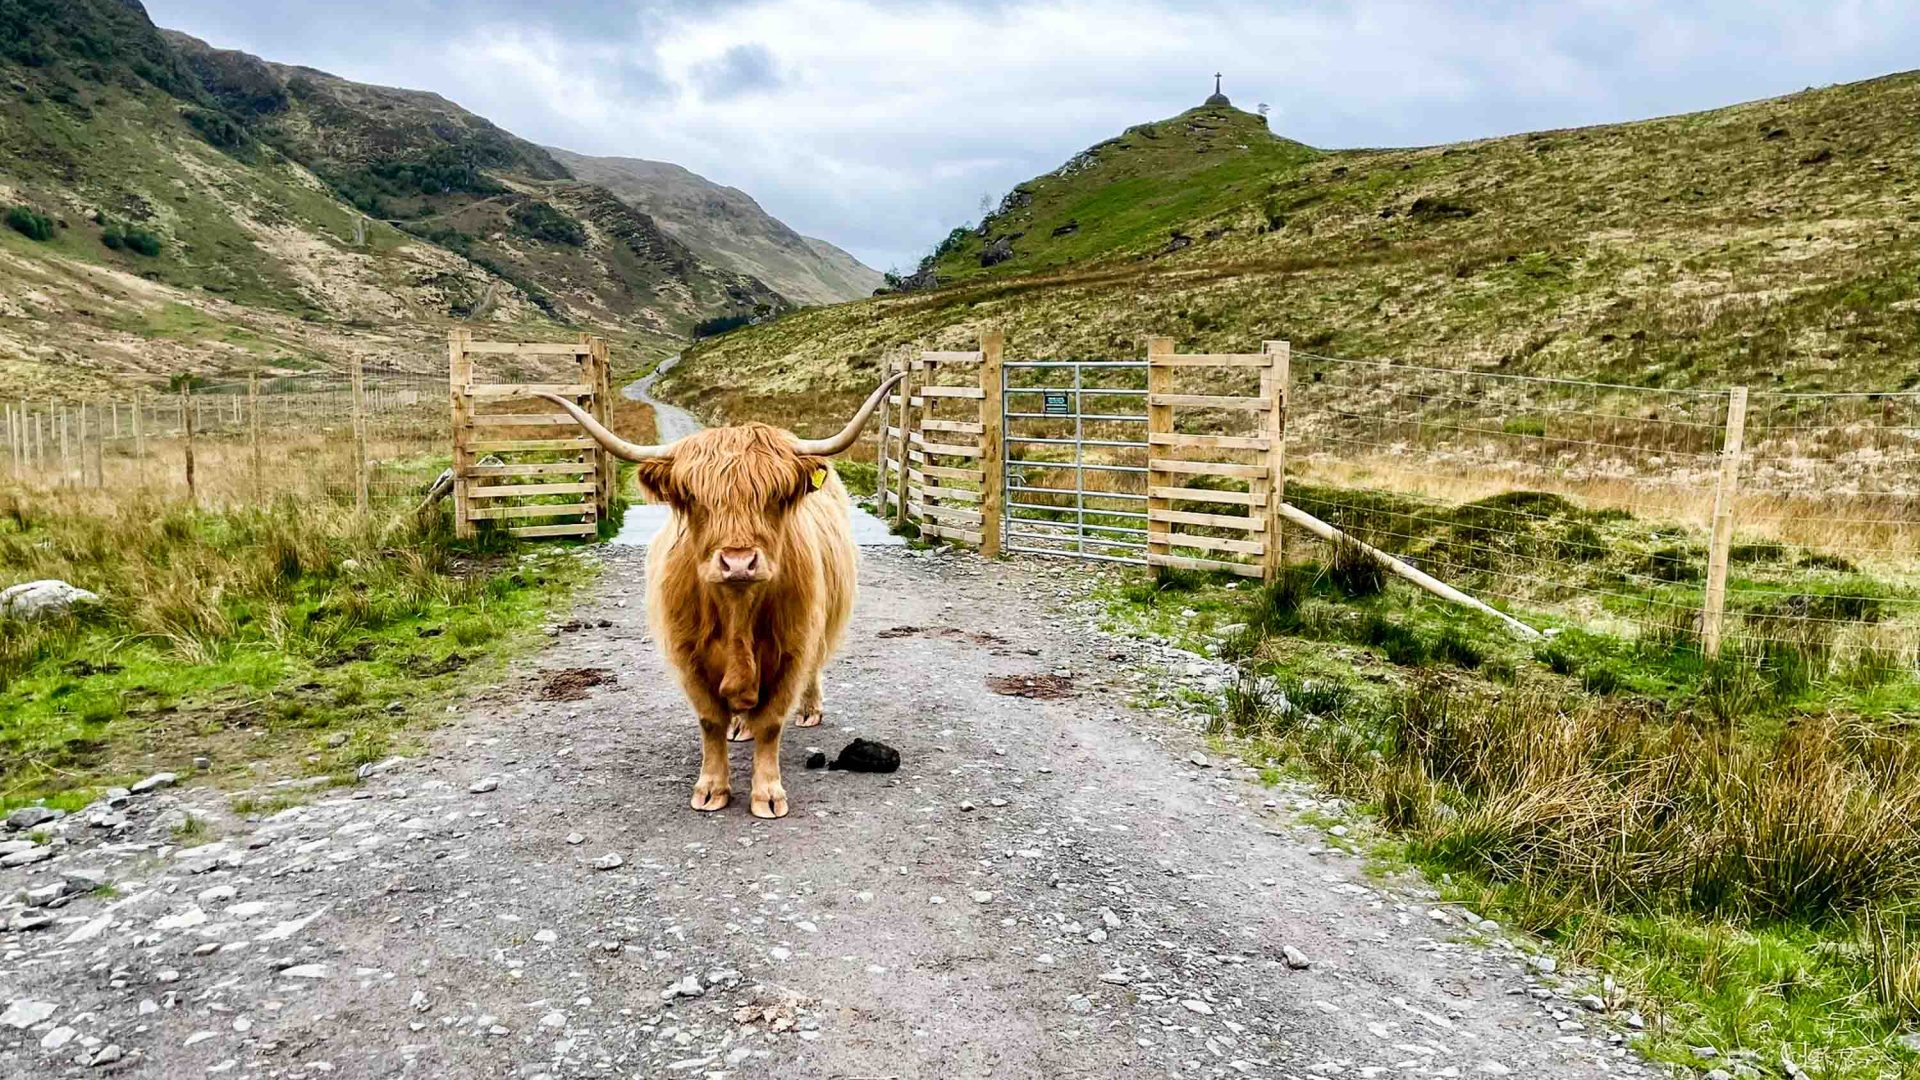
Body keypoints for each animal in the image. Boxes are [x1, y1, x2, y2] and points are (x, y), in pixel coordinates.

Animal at [535, 376, 903, 819]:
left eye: (776, 497)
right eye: (695, 500)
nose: (738, 562)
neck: (737, 613)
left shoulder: (792, 650)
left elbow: (772, 722)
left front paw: (767, 794)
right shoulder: (687, 655)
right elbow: (711, 720)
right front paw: (711, 789)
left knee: (815, 667)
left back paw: (809, 711)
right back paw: (740, 728)